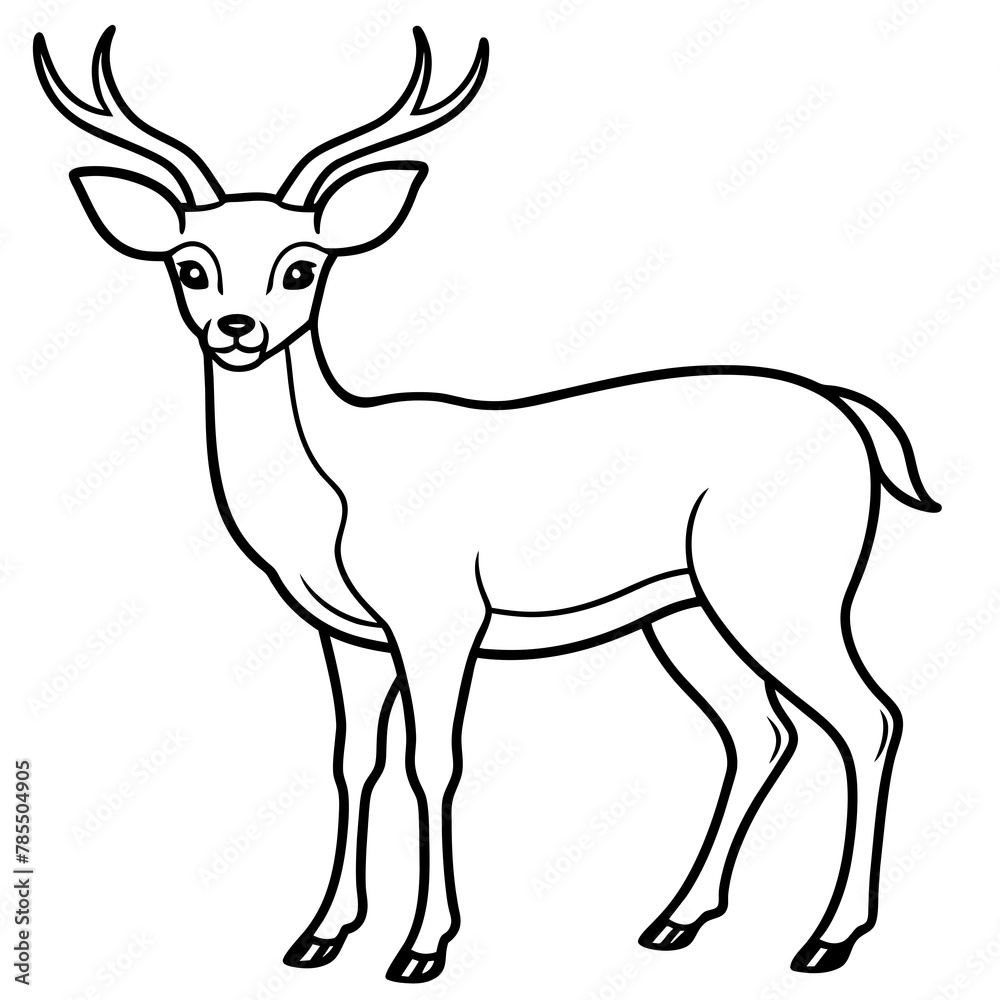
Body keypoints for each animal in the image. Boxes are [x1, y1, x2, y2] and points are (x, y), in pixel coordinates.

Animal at [36, 25, 941, 984]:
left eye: (302, 266)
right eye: (190, 265)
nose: (237, 328)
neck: (336, 495)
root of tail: (852, 414)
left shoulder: (440, 617)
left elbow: (434, 763)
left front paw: (422, 946)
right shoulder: (347, 634)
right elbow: (353, 762)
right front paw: (320, 934)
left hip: (785, 586)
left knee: (868, 718)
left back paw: (829, 937)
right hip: (682, 608)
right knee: (758, 729)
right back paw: (677, 918)